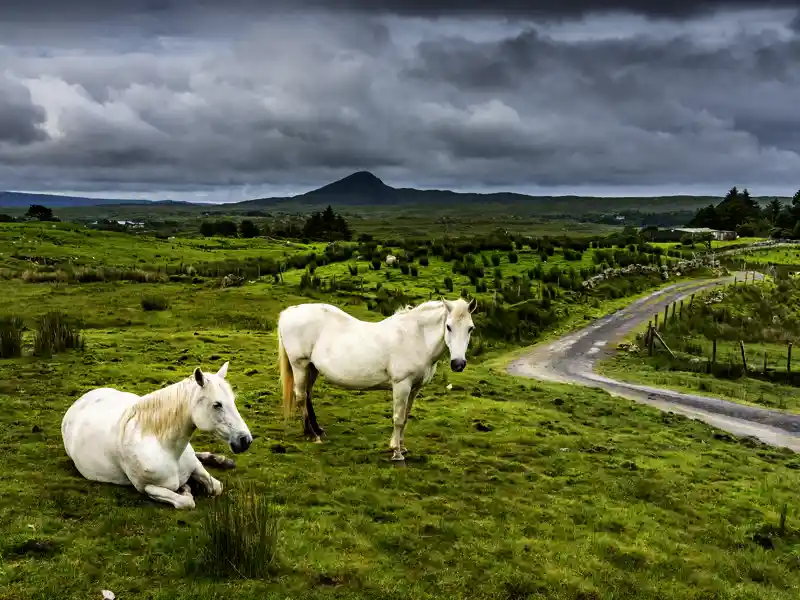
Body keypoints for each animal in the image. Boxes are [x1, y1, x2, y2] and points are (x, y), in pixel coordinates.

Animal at [61, 364, 252, 508]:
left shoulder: (195, 467)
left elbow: (217, 487)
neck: (166, 449)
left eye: (233, 401)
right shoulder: (147, 488)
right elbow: (185, 502)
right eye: (217, 404)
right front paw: (186, 489)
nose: (245, 440)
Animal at [278, 298, 476, 462]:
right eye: (448, 326)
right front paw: (396, 452)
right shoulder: (401, 385)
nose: (458, 364)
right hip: (300, 365)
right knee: (301, 396)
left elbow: (405, 417)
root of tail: (288, 312)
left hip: (312, 368)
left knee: (307, 395)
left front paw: (402, 447)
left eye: (470, 328)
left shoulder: (414, 388)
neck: (415, 337)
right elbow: (398, 418)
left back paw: (317, 429)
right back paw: (312, 434)